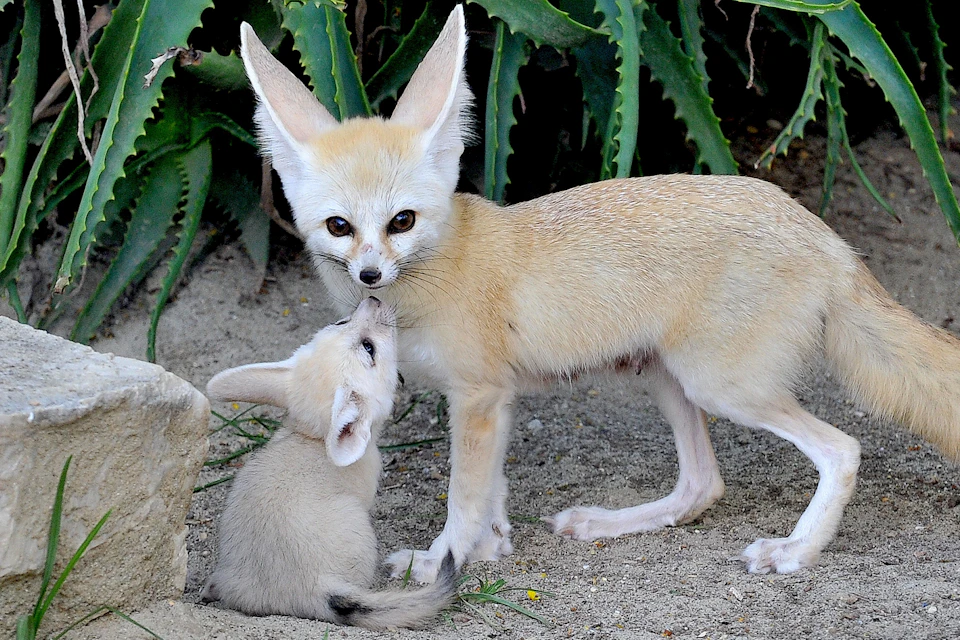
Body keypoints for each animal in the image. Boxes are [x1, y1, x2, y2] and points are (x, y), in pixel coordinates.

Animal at [237, 6, 960, 578]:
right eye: (340, 227)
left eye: (401, 222)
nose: (369, 277)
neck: (441, 266)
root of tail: (825, 236)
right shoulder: (496, 403)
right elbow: (490, 503)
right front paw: (487, 552)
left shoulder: (478, 399)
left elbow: (464, 501)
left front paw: (444, 563)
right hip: (666, 377)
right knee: (703, 485)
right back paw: (606, 524)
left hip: (722, 387)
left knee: (841, 450)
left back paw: (795, 552)